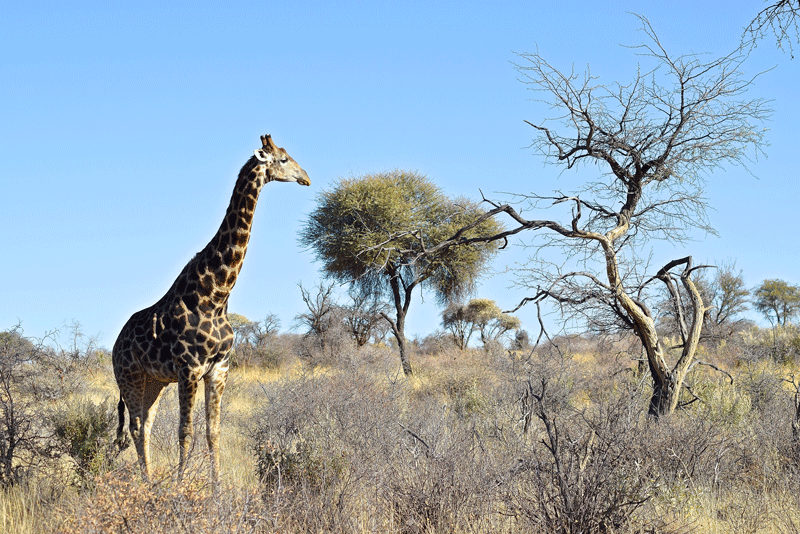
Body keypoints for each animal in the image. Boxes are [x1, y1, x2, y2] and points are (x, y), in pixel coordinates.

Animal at [112, 135, 310, 486]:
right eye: (284, 159)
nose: (307, 178)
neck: (216, 295)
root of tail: (113, 346)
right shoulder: (189, 368)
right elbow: (185, 432)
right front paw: (179, 486)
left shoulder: (219, 369)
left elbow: (213, 431)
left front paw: (217, 487)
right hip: (130, 377)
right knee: (135, 427)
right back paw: (148, 483)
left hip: (153, 382)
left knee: (144, 425)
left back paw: (149, 480)